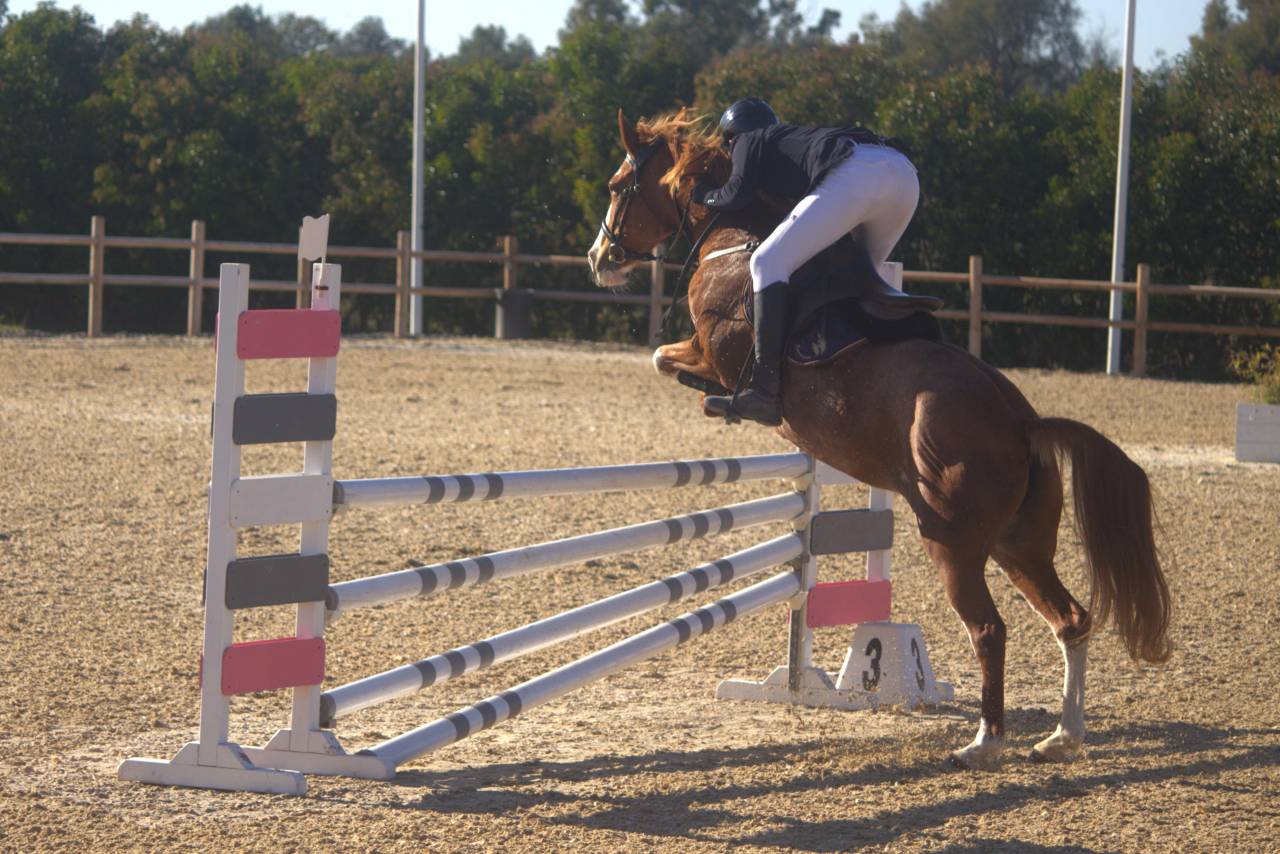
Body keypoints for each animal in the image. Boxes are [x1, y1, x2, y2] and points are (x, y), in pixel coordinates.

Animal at [586, 109, 1171, 770]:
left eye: (617, 185)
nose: (599, 257)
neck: (733, 239)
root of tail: (1021, 420)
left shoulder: (715, 351)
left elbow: (666, 358)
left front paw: (723, 402)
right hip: (1020, 544)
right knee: (1069, 619)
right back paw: (1062, 736)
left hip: (951, 539)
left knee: (989, 629)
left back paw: (985, 742)